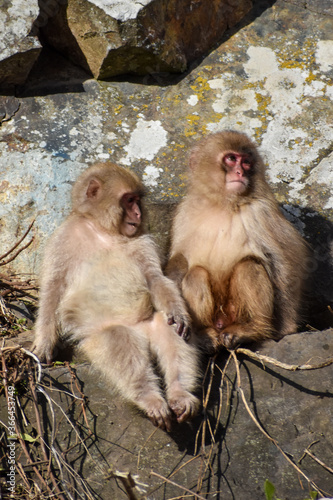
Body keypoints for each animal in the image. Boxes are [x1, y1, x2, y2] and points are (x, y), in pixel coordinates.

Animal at [165, 131, 308, 354]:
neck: (223, 203)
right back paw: (205, 334)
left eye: (247, 162)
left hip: (235, 313)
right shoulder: (184, 212)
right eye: (231, 159)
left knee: (248, 266)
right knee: (196, 274)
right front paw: (175, 312)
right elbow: (180, 261)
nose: (240, 172)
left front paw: (286, 328)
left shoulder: (262, 211)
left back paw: (253, 329)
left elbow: (284, 262)